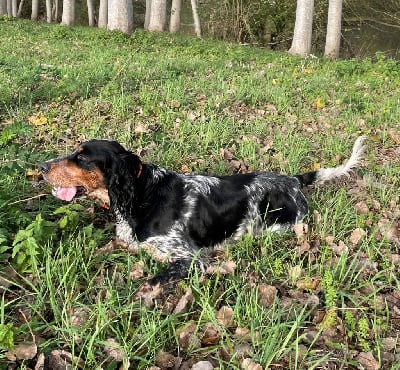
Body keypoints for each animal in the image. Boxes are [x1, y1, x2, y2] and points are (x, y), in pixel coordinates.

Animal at [40, 136, 366, 284]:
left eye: (82, 158)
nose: (41, 167)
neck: (142, 194)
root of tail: (293, 179)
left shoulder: (190, 259)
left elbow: (150, 280)